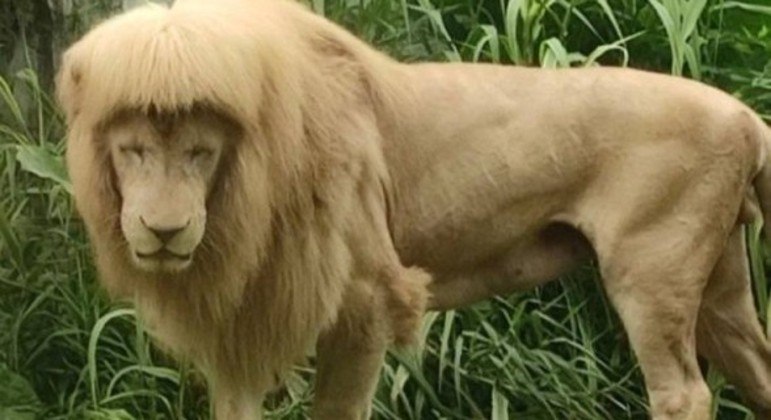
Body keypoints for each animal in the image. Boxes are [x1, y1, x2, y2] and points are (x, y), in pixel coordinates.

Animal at [57, 0, 771, 419]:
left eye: (201, 152)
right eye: (133, 151)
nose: (164, 230)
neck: (246, 195)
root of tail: (745, 116)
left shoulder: (368, 300)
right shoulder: (242, 319)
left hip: (649, 273)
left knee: (683, 392)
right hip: (720, 288)